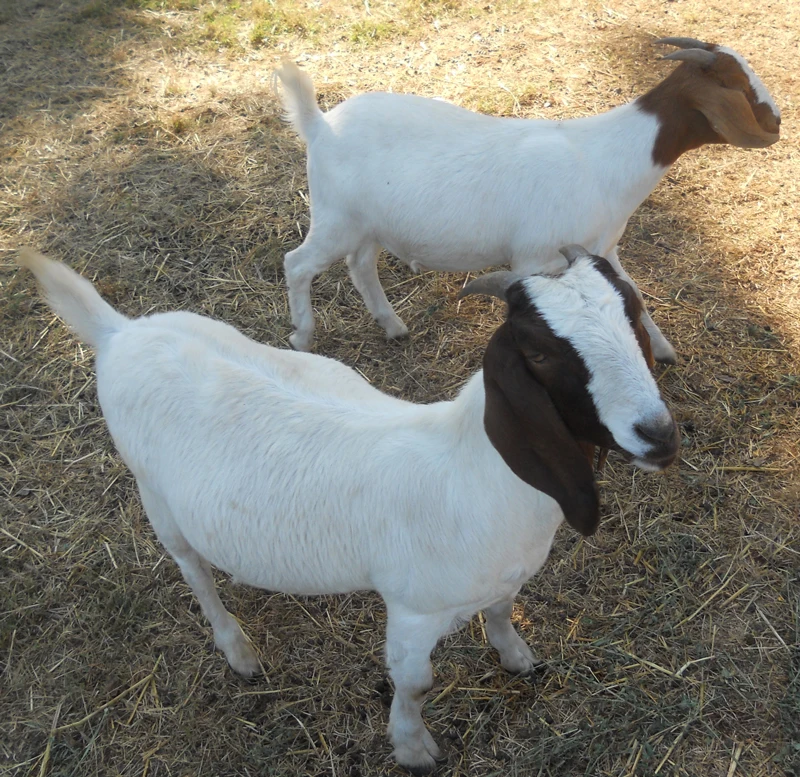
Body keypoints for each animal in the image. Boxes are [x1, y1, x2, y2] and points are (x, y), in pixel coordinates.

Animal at [18, 244, 679, 774]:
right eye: (539, 353)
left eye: (633, 310)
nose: (659, 435)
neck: (476, 469)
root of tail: (121, 333)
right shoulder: (413, 610)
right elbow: (415, 683)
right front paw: (412, 748)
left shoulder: (502, 577)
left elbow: (501, 612)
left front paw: (516, 657)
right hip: (156, 497)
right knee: (193, 571)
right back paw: (238, 651)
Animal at [275, 37, 780, 361]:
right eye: (738, 86)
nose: (777, 121)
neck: (609, 156)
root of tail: (319, 124)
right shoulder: (533, 259)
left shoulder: (604, 247)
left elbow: (632, 291)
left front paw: (660, 348)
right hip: (336, 217)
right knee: (297, 264)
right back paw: (302, 337)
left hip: (365, 224)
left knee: (360, 266)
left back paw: (393, 326)